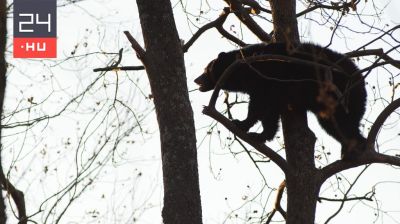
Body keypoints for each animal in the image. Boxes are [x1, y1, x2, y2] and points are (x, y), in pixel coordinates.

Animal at [195, 42, 368, 159]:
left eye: (205, 69)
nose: (196, 80)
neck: (247, 69)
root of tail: (360, 79)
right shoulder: (273, 90)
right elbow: (271, 112)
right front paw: (262, 134)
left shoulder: (267, 79)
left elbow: (259, 105)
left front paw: (241, 123)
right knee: (334, 126)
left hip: (340, 95)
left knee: (344, 123)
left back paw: (354, 149)